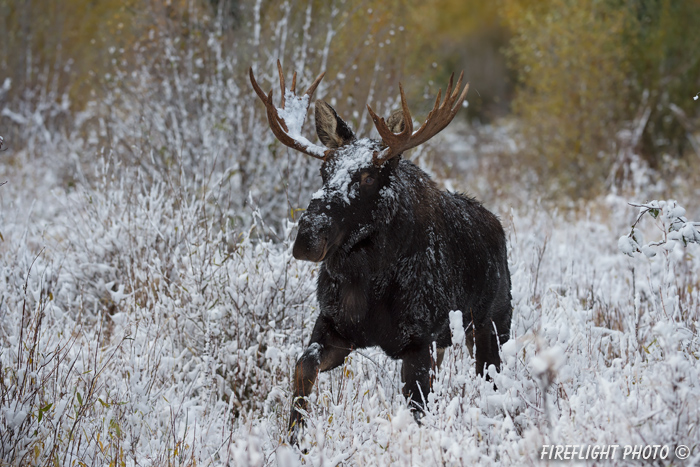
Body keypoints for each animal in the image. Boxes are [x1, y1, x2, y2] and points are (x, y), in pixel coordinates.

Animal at [249, 62, 512, 446]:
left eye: (369, 176)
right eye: (324, 170)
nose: (308, 237)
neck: (368, 280)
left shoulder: (418, 341)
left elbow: (417, 408)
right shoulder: (334, 327)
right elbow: (303, 366)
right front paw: (295, 440)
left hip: (490, 326)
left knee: (491, 380)